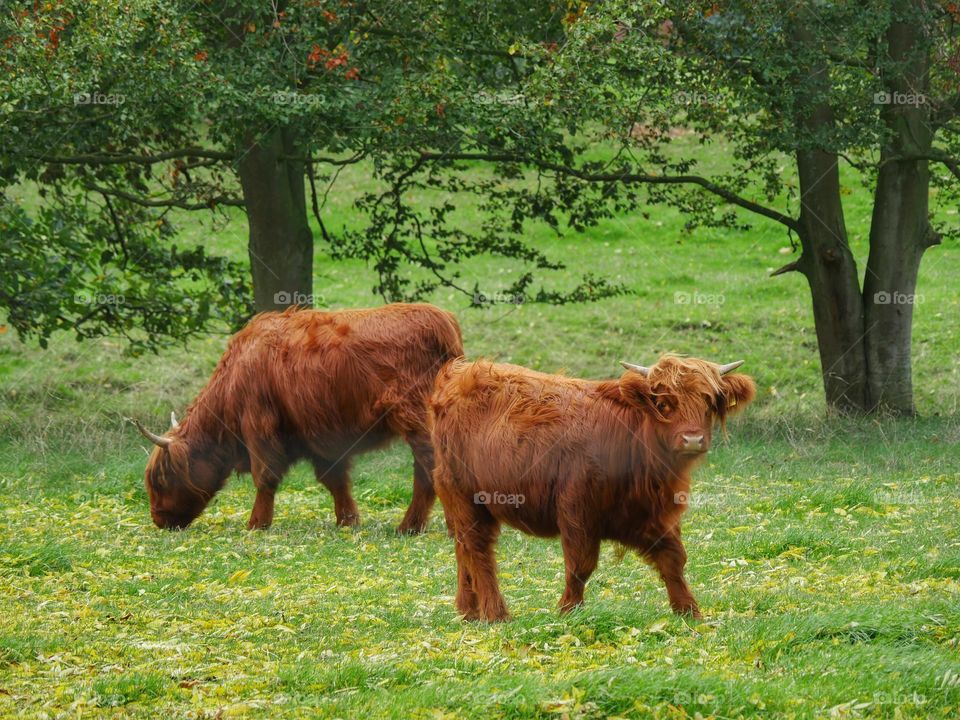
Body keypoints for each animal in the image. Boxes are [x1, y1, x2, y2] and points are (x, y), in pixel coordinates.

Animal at [137, 300, 464, 532]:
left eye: (160, 478)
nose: (159, 519)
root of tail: (442, 321)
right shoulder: (321, 439)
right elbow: (335, 480)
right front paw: (347, 521)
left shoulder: (259, 427)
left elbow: (265, 476)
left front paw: (256, 524)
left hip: (417, 421)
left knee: (431, 470)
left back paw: (416, 526)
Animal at [432, 358, 752, 620]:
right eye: (664, 404)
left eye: (708, 403)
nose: (693, 439)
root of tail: (458, 373)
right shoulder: (578, 511)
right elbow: (580, 564)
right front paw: (568, 611)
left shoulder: (650, 515)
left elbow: (673, 558)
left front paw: (689, 612)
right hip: (464, 495)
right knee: (478, 549)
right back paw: (495, 613)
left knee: (463, 548)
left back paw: (468, 610)